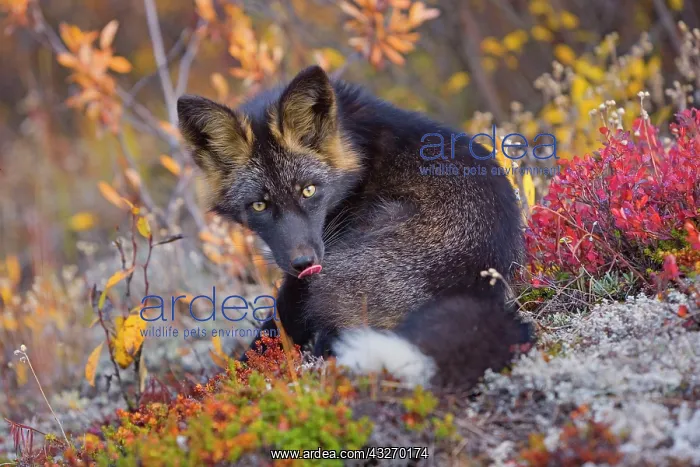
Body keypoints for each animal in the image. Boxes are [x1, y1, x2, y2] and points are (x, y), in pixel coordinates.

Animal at [177, 65, 533, 389]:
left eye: (309, 190)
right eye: (259, 206)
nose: (303, 263)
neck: (359, 150)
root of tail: (476, 284)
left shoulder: (305, 276)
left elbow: (268, 336)